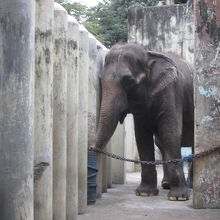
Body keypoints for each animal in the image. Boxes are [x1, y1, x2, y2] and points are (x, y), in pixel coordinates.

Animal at [93, 43, 194, 201]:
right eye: (100, 79)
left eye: (128, 81)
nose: (91, 148)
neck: (148, 54)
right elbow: (142, 136)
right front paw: (145, 193)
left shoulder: (172, 89)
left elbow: (170, 132)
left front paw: (178, 197)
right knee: (160, 142)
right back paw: (166, 184)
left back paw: (190, 186)